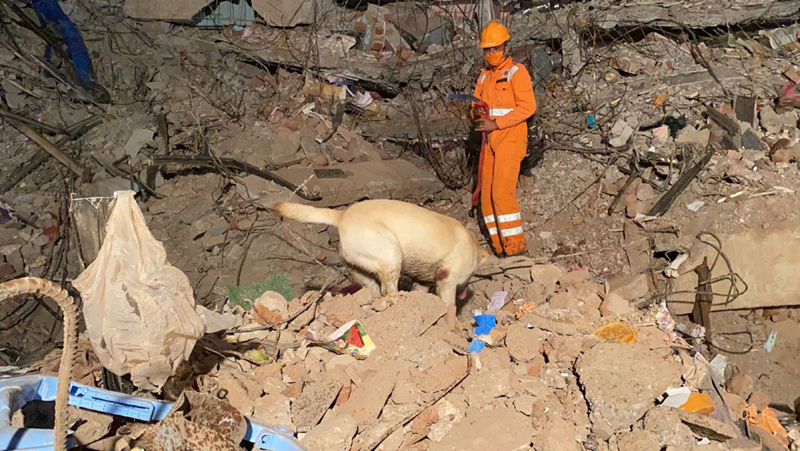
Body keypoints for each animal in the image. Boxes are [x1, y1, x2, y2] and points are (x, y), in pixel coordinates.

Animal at [274, 200, 488, 326]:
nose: (465, 291)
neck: (473, 247)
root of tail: (341, 215)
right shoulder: (447, 279)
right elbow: (449, 304)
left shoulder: (424, 281)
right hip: (392, 255)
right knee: (389, 291)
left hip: (360, 269)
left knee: (375, 291)